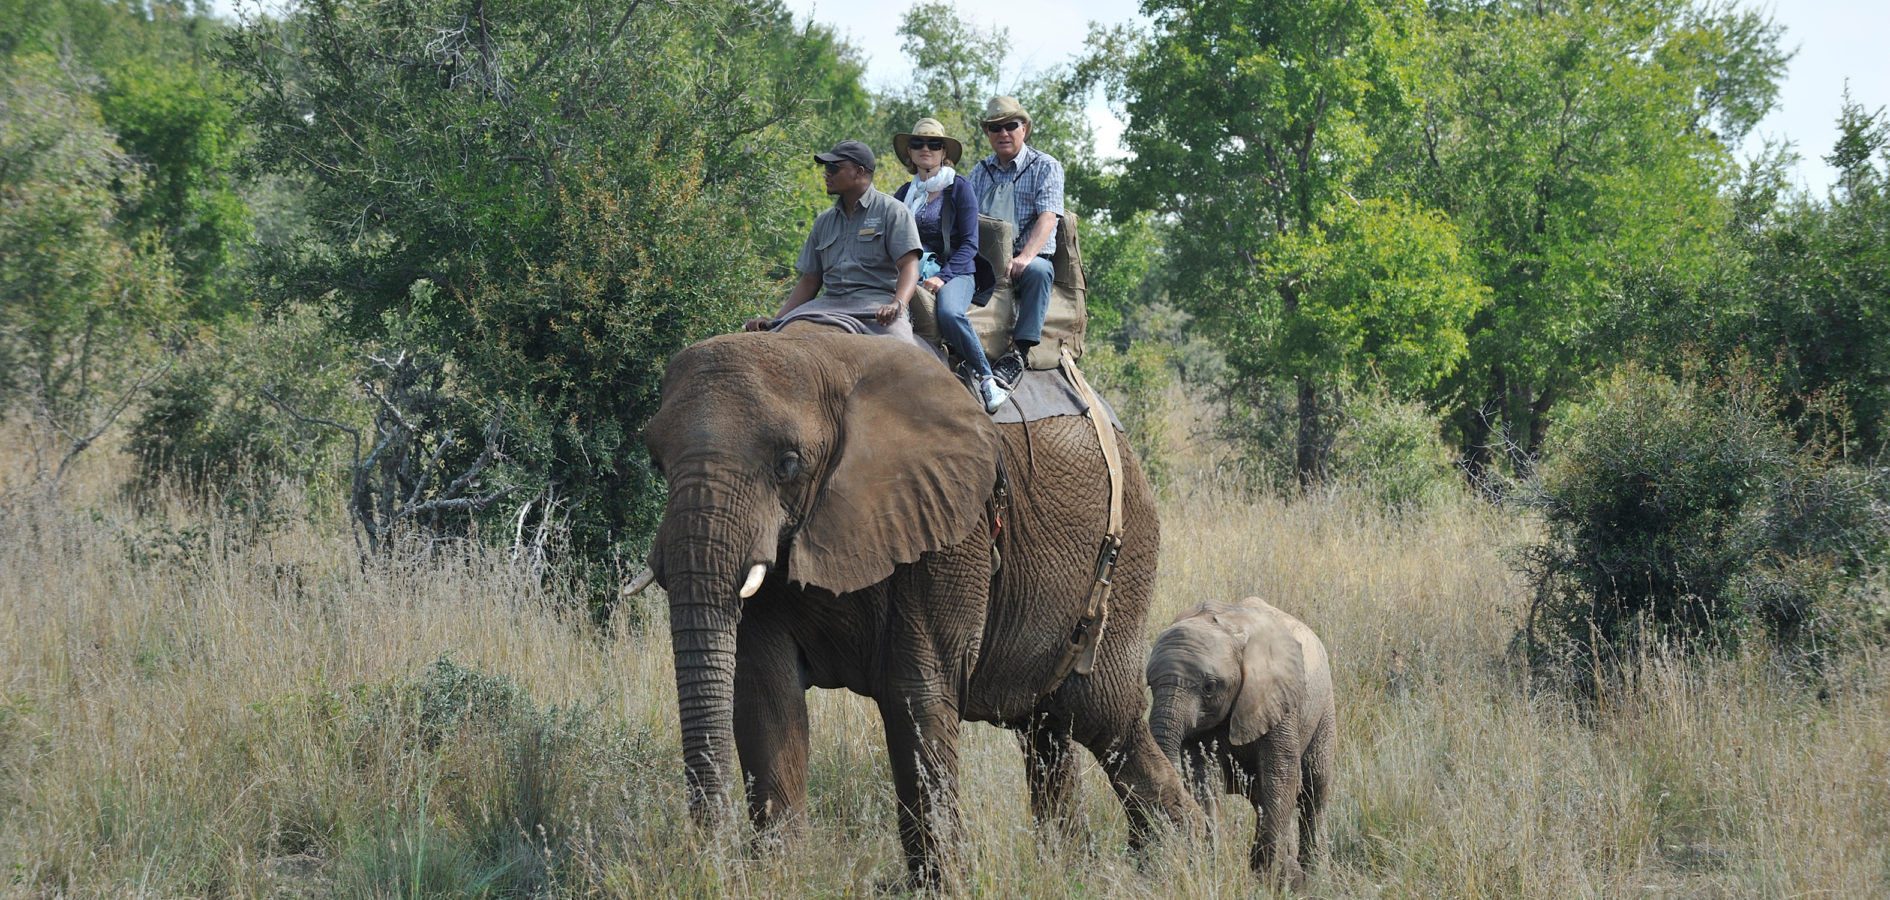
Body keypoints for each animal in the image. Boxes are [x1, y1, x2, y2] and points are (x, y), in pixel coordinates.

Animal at [642, 327, 1186, 881]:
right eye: (655, 462)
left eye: (787, 463)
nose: (706, 858)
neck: (826, 358)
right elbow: (766, 695)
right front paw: (777, 878)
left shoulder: (948, 522)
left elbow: (916, 692)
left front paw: (944, 884)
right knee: (1048, 730)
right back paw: (1071, 869)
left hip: (1127, 555)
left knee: (1107, 718)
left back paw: (1176, 859)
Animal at [1141, 597, 1338, 884]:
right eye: (1150, 684)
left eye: (1209, 687)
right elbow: (1204, 779)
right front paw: (1214, 866)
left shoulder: (1279, 699)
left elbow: (1281, 776)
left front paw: (1275, 878)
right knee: (1264, 798)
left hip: (1323, 707)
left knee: (1315, 787)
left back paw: (1314, 874)